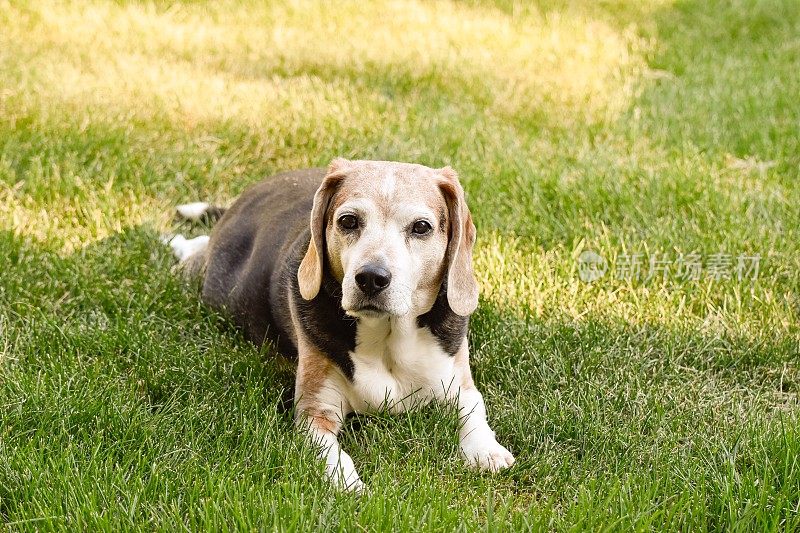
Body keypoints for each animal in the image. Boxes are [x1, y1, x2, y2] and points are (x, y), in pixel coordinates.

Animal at [170, 158, 520, 490]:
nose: (371, 277)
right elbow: (334, 455)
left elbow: (473, 409)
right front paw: (349, 486)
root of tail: (249, 194)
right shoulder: (315, 412)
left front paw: (486, 450)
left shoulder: (458, 381)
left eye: (421, 227)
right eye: (348, 221)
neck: (387, 336)